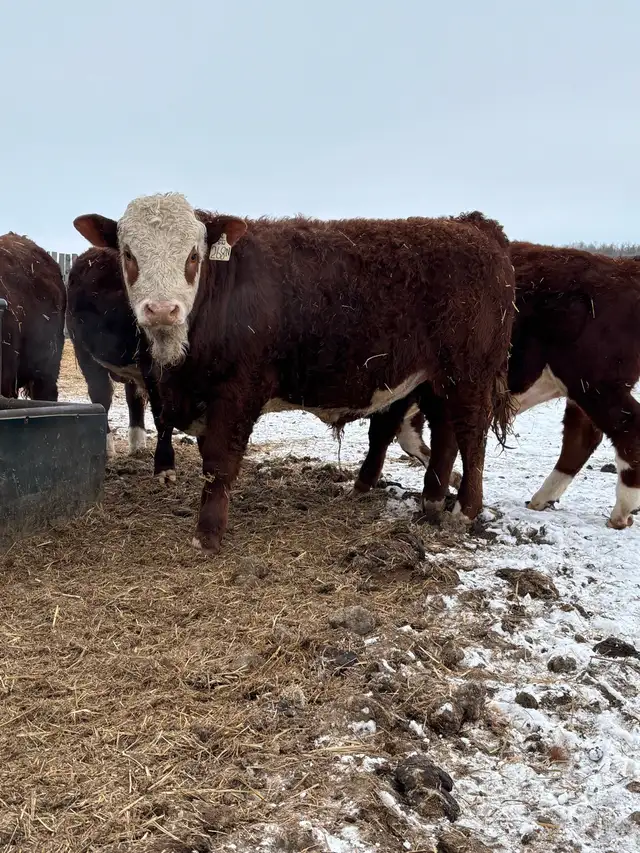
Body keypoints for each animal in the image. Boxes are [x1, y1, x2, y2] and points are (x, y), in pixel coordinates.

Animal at [66, 248, 176, 481]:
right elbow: (162, 413)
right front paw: (164, 467)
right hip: (85, 352)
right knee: (101, 397)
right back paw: (107, 446)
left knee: (133, 398)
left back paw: (138, 443)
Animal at [358, 244, 640, 530]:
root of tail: (623, 268)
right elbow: (412, 436)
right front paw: (453, 479)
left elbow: (384, 432)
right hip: (582, 389)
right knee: (581, 436)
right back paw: (542, 499)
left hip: (595, 384)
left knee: (627, 429)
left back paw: (622, 510)